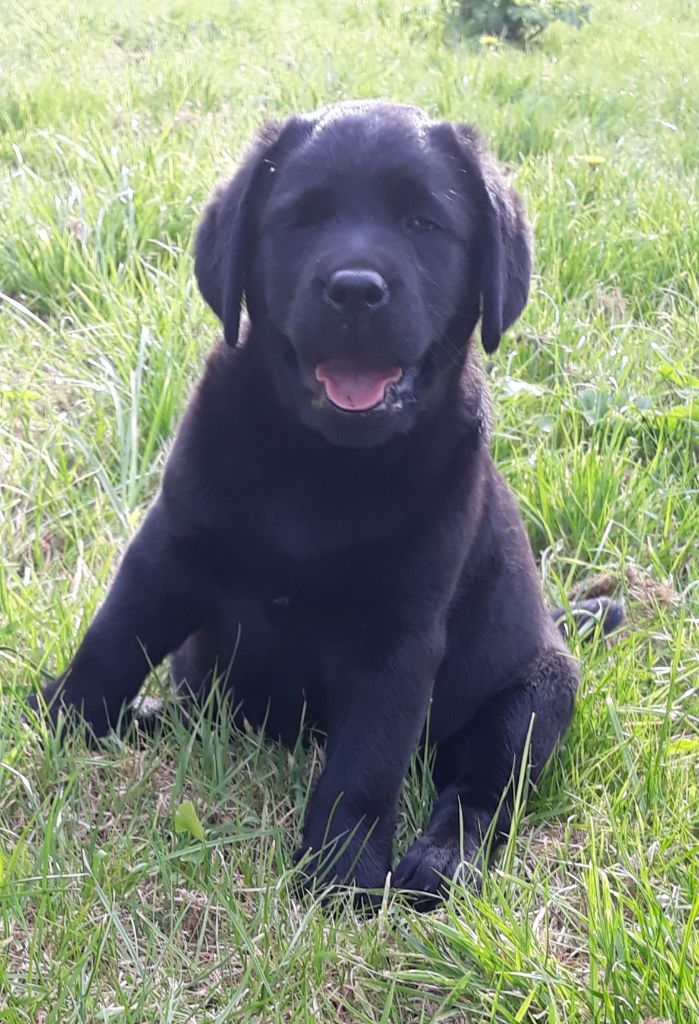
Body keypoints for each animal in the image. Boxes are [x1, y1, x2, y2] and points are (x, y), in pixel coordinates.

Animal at [28, 101, 618, 905]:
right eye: (299, 219)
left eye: (422, 223)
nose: (355, 290)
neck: (322, 464)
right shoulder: (168, 551)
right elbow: (112, 642)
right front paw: (57, 724)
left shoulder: (399, 634)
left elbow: (367, 758)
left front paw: (343, 873)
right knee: (193, 711)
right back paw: (144, 718)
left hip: (535, 695)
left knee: (481, 787)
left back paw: (441, 858)